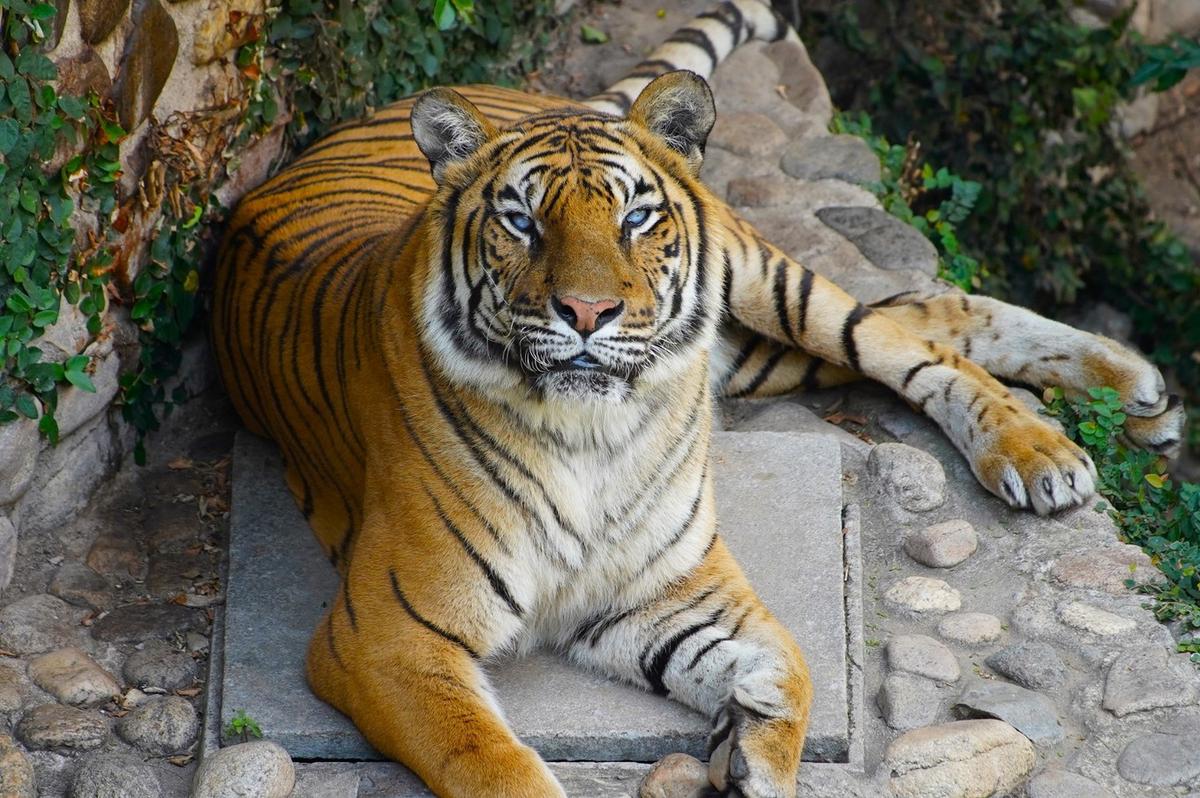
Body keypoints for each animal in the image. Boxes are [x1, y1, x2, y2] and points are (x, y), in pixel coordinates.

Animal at [211, 3, 1185, 792]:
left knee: (900, 340)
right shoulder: (388, 637)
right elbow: (490, 762)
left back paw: (1066, 438)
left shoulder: (675, 585)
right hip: (760, 354)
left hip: (765, 285)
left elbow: (792, 666)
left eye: (635, 216)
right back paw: (1139, 397)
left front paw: (753, 750)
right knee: (928, 310)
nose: (588, 312)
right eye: (521, 220)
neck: (594, 432)